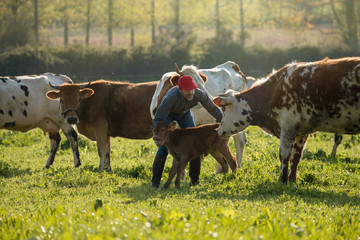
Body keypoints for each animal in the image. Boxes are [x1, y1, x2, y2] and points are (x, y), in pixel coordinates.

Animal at [214, 57, 360, 183]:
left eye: (224, 109)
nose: (218, 130)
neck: (274, 91)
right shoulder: (302, 132)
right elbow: (296, 156)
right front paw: (292, 180)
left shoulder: (288, 126)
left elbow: (284, 154)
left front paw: (282, 180)